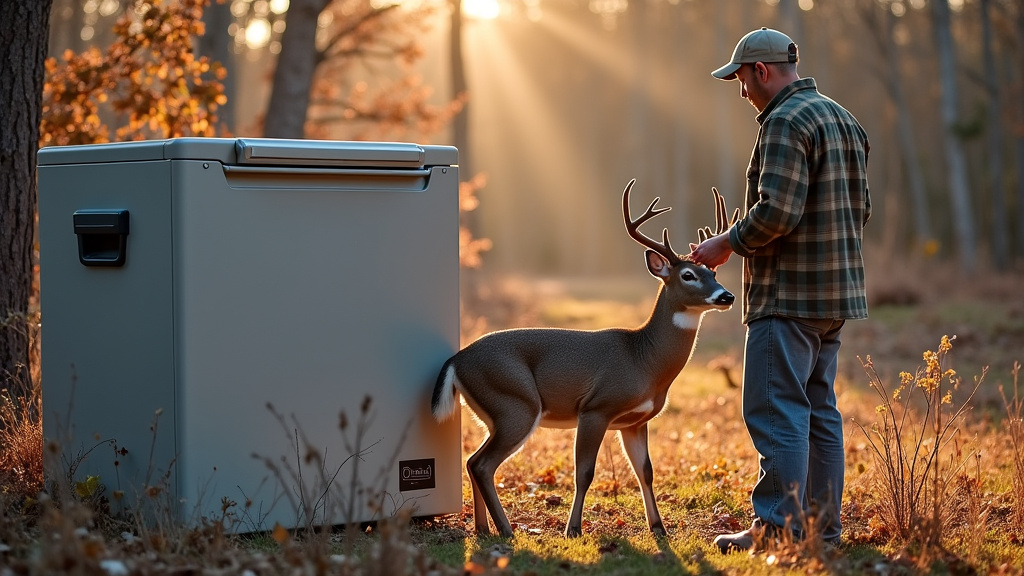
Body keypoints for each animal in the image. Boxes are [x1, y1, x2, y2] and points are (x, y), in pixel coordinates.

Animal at [431, 179, 736, 538]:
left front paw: (659, 528)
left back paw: (483, 529)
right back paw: (506, 530)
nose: (727, 296)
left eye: (713, 272)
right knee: (482, 463)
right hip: (516, 403)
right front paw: (573, 529)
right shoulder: (595, 407)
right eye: (688, 275)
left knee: (472, 460)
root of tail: (457, 360)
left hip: (495, 413)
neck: (644, 359)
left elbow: (645, 472)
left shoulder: (636, 421)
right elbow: (585, 472)